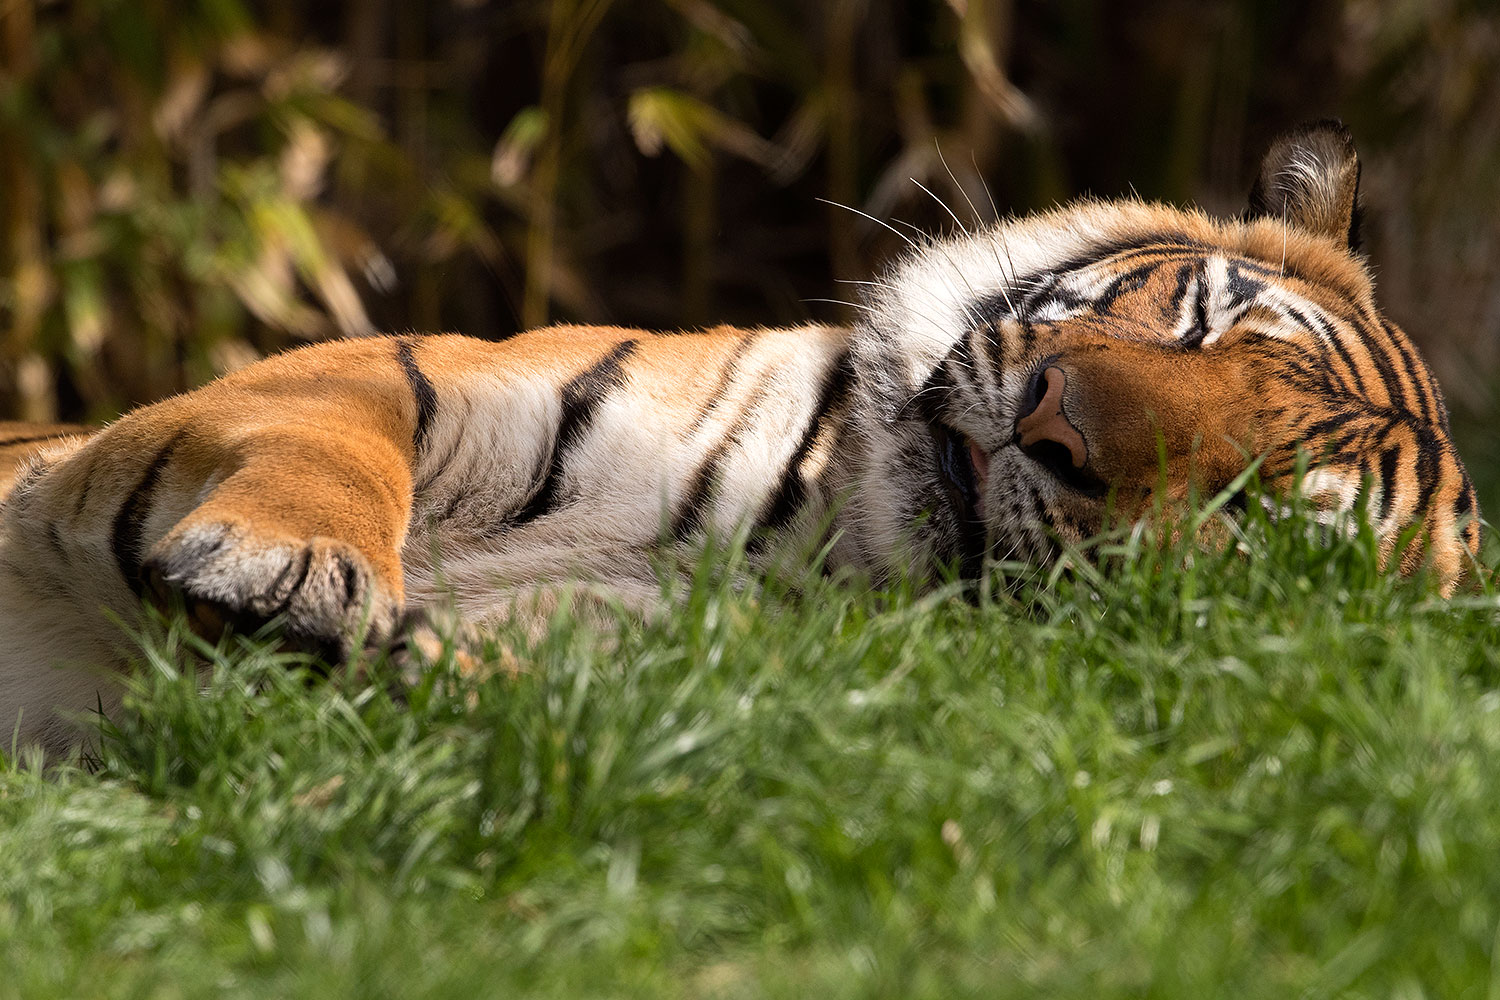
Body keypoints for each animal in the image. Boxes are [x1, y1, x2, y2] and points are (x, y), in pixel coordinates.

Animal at [0, 121, 1480, 755]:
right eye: (1202, 319)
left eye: (1249, 511)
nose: (1055, 427)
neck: (814, 532)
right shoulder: (391, 370)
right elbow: (334, 439)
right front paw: (291, 563)